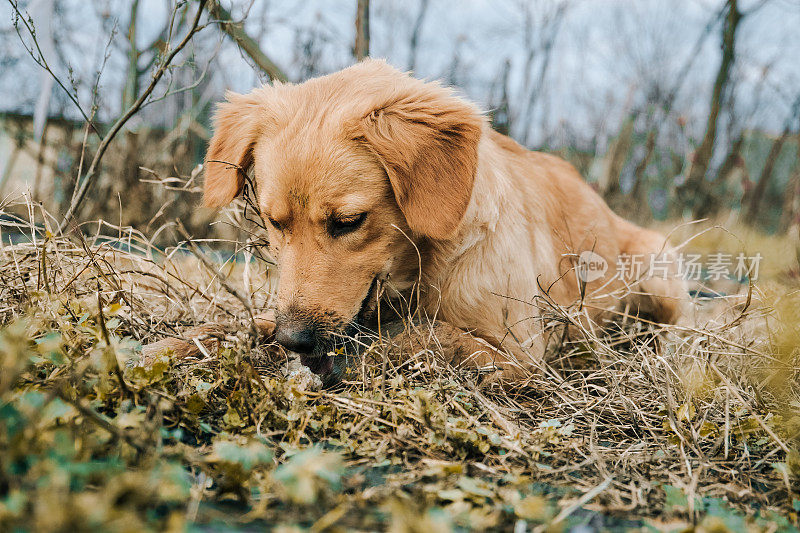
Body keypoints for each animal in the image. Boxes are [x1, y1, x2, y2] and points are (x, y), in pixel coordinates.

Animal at [153, 58, 684, 382]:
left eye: (349, 221)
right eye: (273, 222)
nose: (294, 340)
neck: (419, 272)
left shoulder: (521, 356)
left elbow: (430, 334)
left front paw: (356, 354)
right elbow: (241, 322)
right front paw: (181, 343)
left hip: (659, 270)